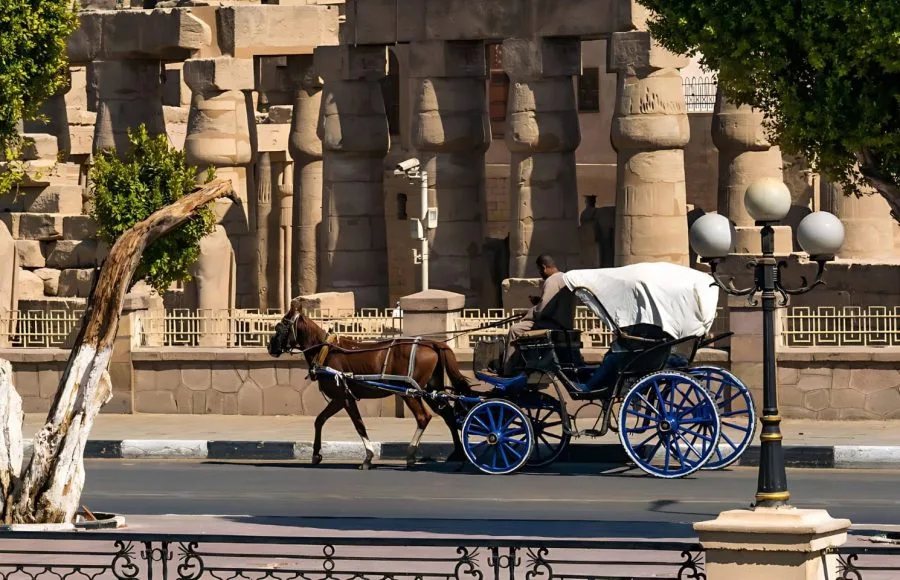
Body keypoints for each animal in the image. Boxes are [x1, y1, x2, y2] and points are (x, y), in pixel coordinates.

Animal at [267, 304, 472, 470]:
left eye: (280, 326)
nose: (270, 347)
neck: (325, 351)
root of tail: (433, 343)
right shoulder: (340, 399)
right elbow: (320, 420)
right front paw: (316, 454)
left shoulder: (343, 397)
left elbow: (359, 425)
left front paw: (368, 457)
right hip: (431, 389)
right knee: (449, 416)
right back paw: (459, 456)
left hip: (410, 393)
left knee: (424, 417)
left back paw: (411, 455)